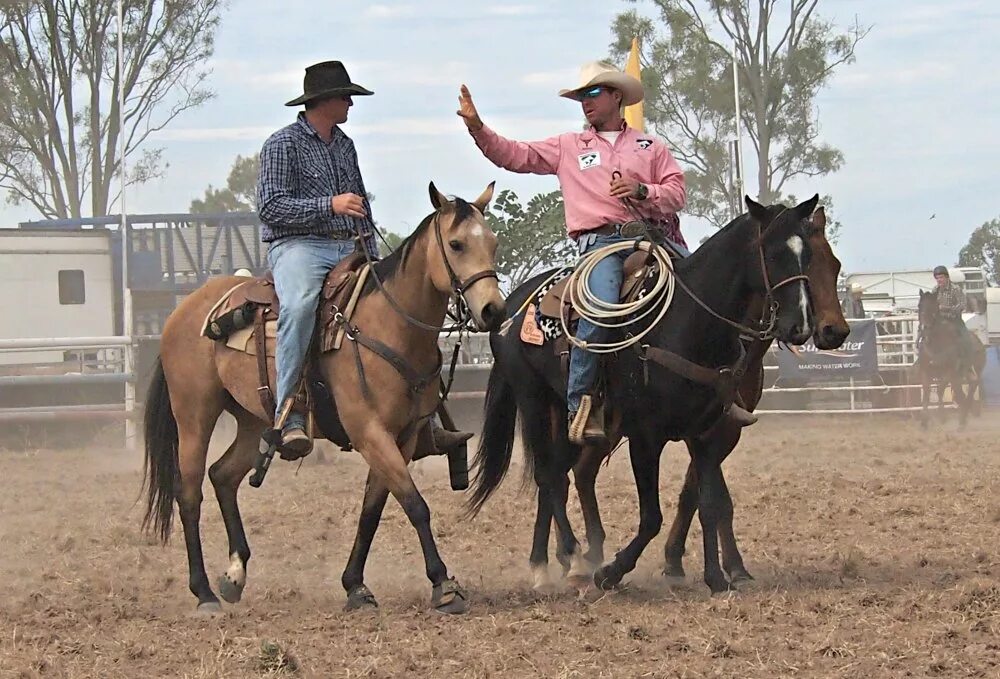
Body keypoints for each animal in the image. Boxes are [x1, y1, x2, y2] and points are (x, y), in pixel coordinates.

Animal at [141, 185, 504, 616]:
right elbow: (414, 504)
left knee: (223, 476)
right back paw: (204, 593)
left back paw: (234, 576)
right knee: (190, 493)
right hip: (194, 414)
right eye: (456, 244)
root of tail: (181, 312)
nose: (494, 310)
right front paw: (444, 585)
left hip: (252, 421)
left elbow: (373, 509)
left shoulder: (402, 436)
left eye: (494, 243)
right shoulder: (369, 432)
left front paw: (355, 586)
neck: (388, 326)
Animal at [468, 194, 836, 592]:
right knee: (549, 476)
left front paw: (715, 578)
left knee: (561, 477)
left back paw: (550, 563)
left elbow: (708, 503)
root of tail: (510, 306)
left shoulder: (708, 433)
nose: (803, 327)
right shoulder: (646, 437)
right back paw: (573, 562)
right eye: (771, 252)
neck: (688, 324)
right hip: (533, 399)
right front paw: (612, 572)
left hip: (568, 417)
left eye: (809, 256)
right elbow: (652, 517)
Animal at [920, 290, 984, 428]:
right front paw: (924, 422)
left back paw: (963, 418)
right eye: (919, 306)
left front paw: (942, 416)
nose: (925, 328)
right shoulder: (925, 371)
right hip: (966, 371)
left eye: (933, 307)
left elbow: (940, 390)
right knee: (971, 384)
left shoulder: (948, 372)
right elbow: (927, 393)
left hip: (976, 368)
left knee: (971, 386)